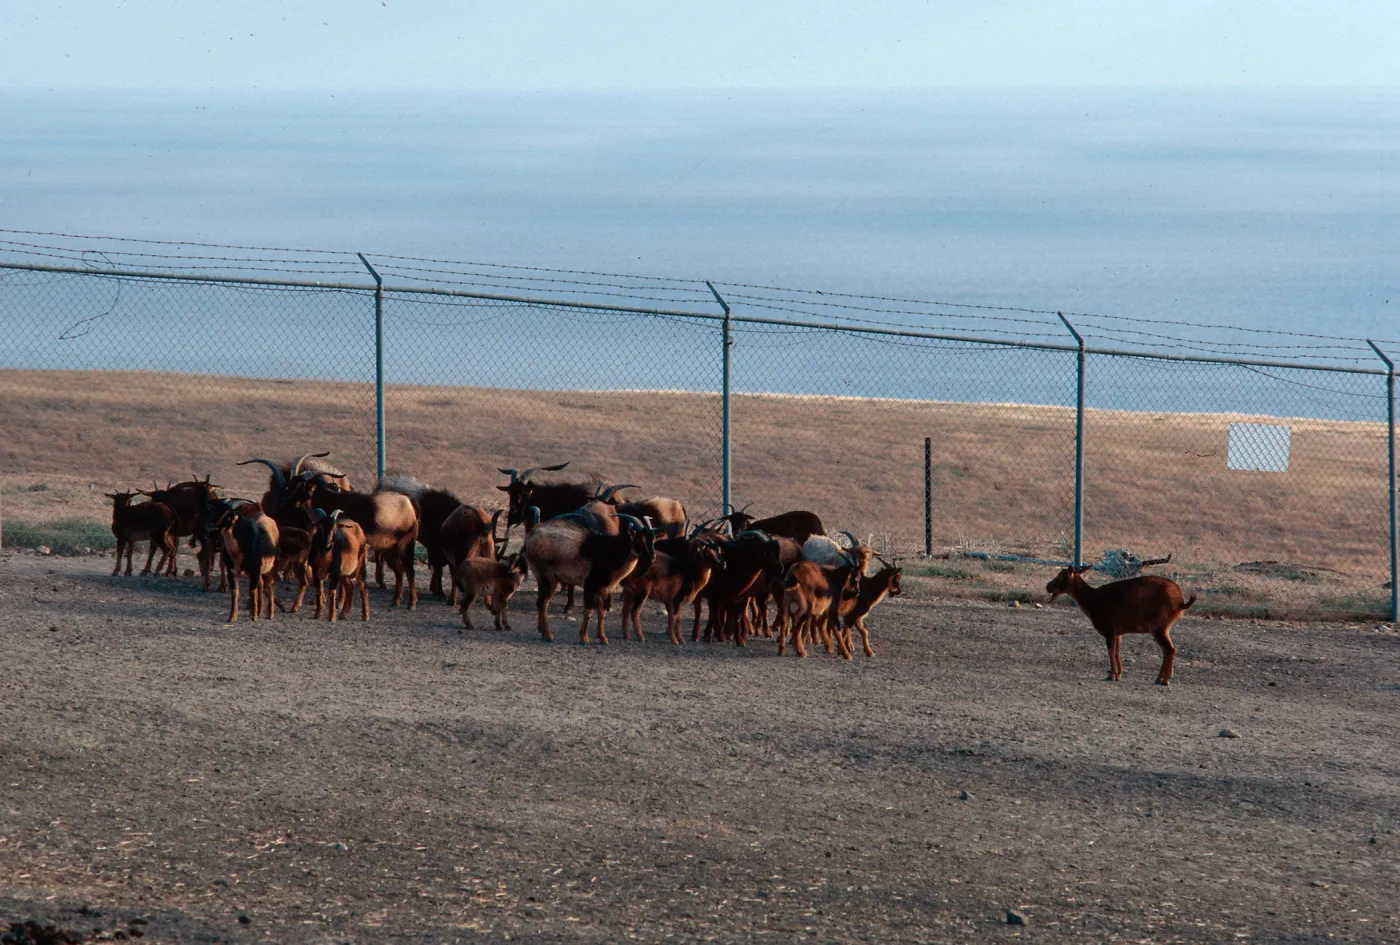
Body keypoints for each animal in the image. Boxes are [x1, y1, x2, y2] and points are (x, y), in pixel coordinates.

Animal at [524, 511, 655, 644]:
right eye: (638, 539)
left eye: (652, 539)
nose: (652, 557)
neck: (611, 552)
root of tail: (532, 537)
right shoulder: (590, 585)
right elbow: (588, 611)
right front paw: (584, 639)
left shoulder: (603, 589)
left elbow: (601, 612)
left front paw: (603, 638)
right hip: (548, 577)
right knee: (543, 603)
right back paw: (548, 635)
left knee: (541, 602)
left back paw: (542, 632)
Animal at [1046, 565, 1196, 685]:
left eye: (1060, 576)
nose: (1047, 586)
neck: (1092, 601)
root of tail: (1181, 602)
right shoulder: (1118, 632)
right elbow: (1117, 652)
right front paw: (1118, 674)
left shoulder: (1109, 629)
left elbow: (1111, 651)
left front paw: (1112, 675)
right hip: (1161, 628)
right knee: (1166, 650)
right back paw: (1158, 678)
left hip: (1159, 626)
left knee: (1170, 650)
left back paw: (1165, 679)